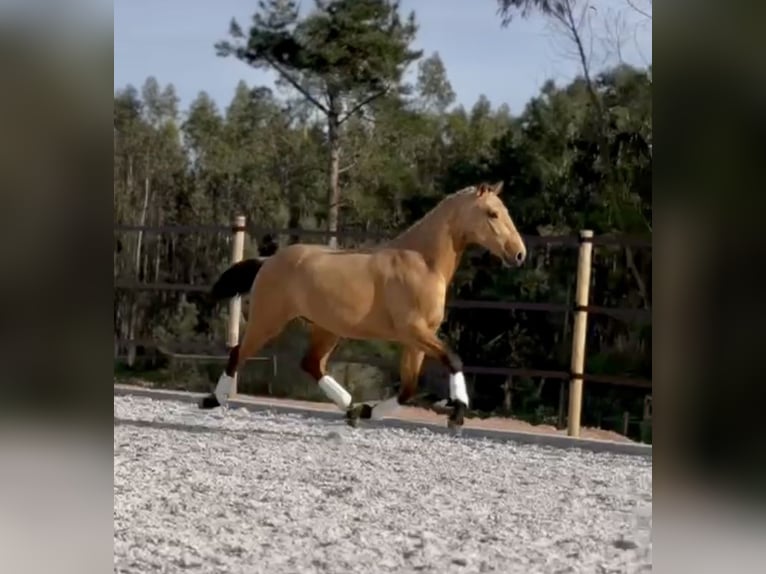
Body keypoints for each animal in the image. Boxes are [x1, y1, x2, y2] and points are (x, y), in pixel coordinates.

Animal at [201, 181, 532, 432]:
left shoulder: (416, 339)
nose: (519, 254)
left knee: (311, 364)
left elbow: (408, 389)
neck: (422, 262)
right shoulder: (413, 331)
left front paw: (369, 412)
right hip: (269, 319)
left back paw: (352, 408)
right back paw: (215, 399)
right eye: (492, 213)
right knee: (239, 352)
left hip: (327, 329)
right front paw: (458, 413)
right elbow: (454, 359)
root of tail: (269, 260)